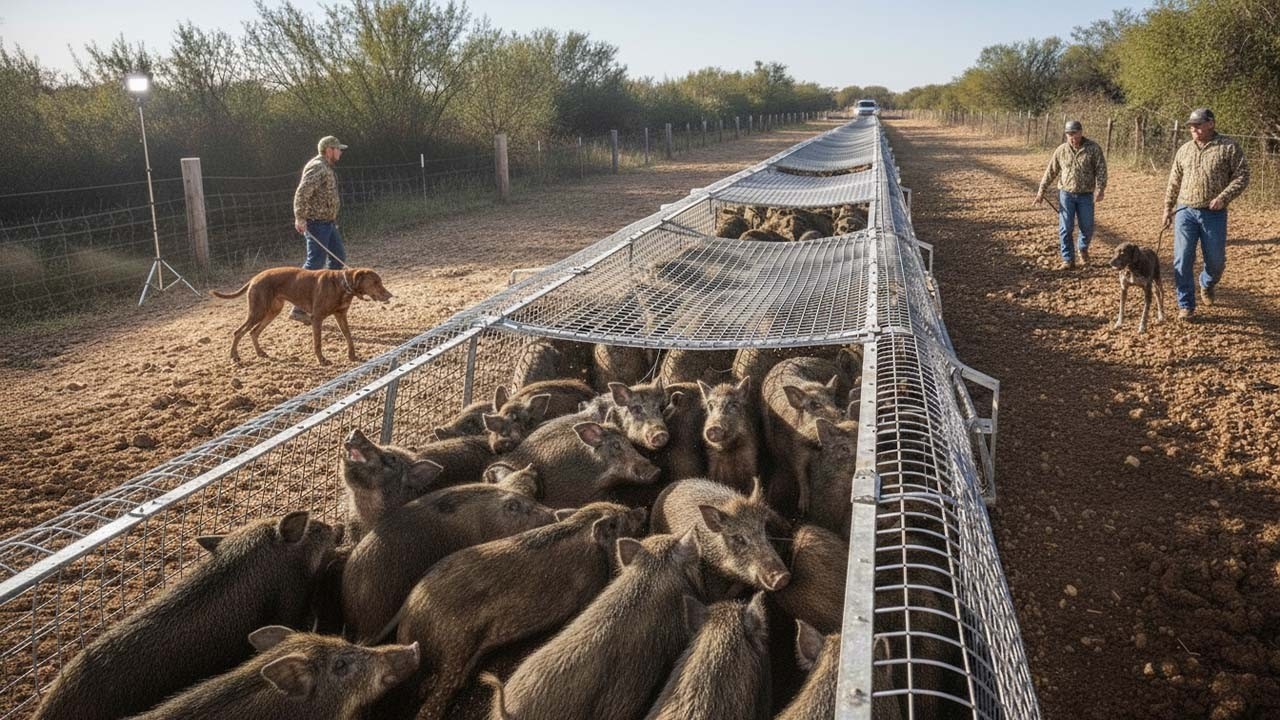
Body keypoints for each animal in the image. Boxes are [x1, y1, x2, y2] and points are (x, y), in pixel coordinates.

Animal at [385, 503, 649, 719]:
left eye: (623, 509)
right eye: (620, 519)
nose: (642, 509)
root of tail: (409, 607)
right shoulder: (587, 587)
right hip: (455, 644)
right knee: (434, 701)